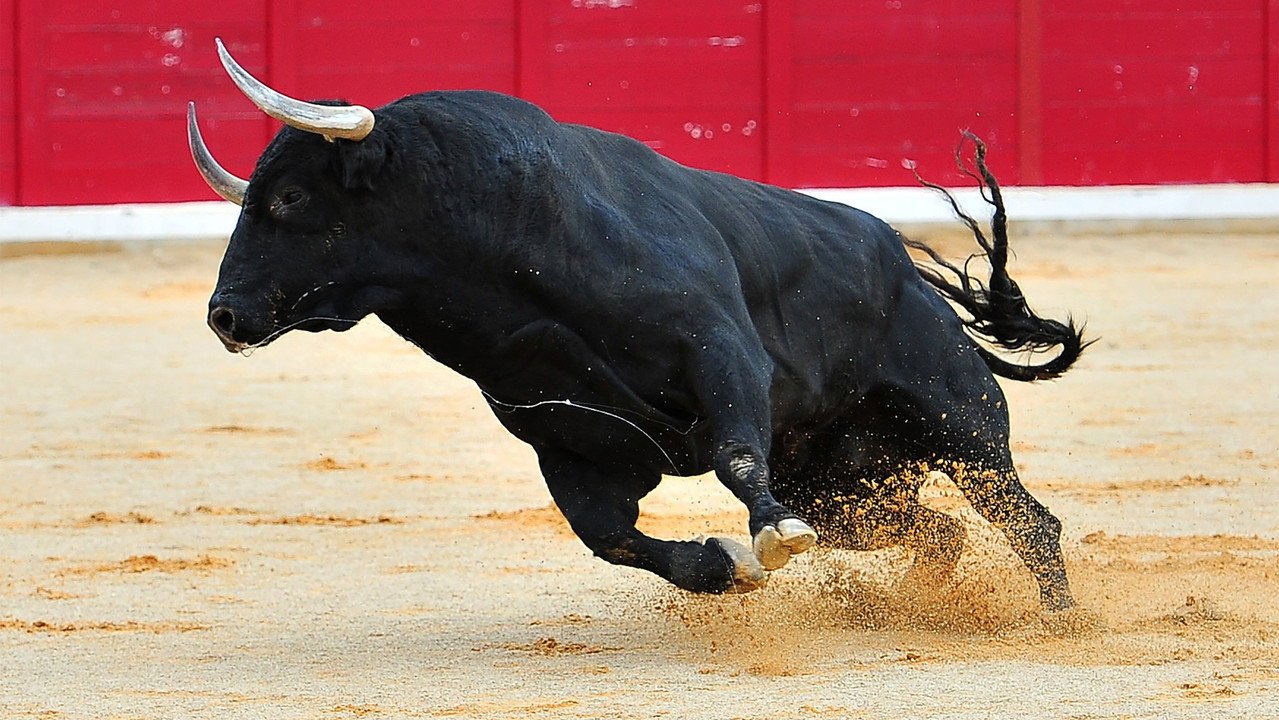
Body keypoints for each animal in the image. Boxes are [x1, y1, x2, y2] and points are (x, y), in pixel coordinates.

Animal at [190, 39, 1087, 610]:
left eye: (291, 196)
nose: (225, 315)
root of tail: (904, 265)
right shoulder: (568, 444)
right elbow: (610, 538)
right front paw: (724, 566)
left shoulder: (721, 355)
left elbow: (733, 455)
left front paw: (767, 537)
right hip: (840, 486)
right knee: (937, 534)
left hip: (956, 419)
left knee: (1026, 518)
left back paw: (1057, 619)